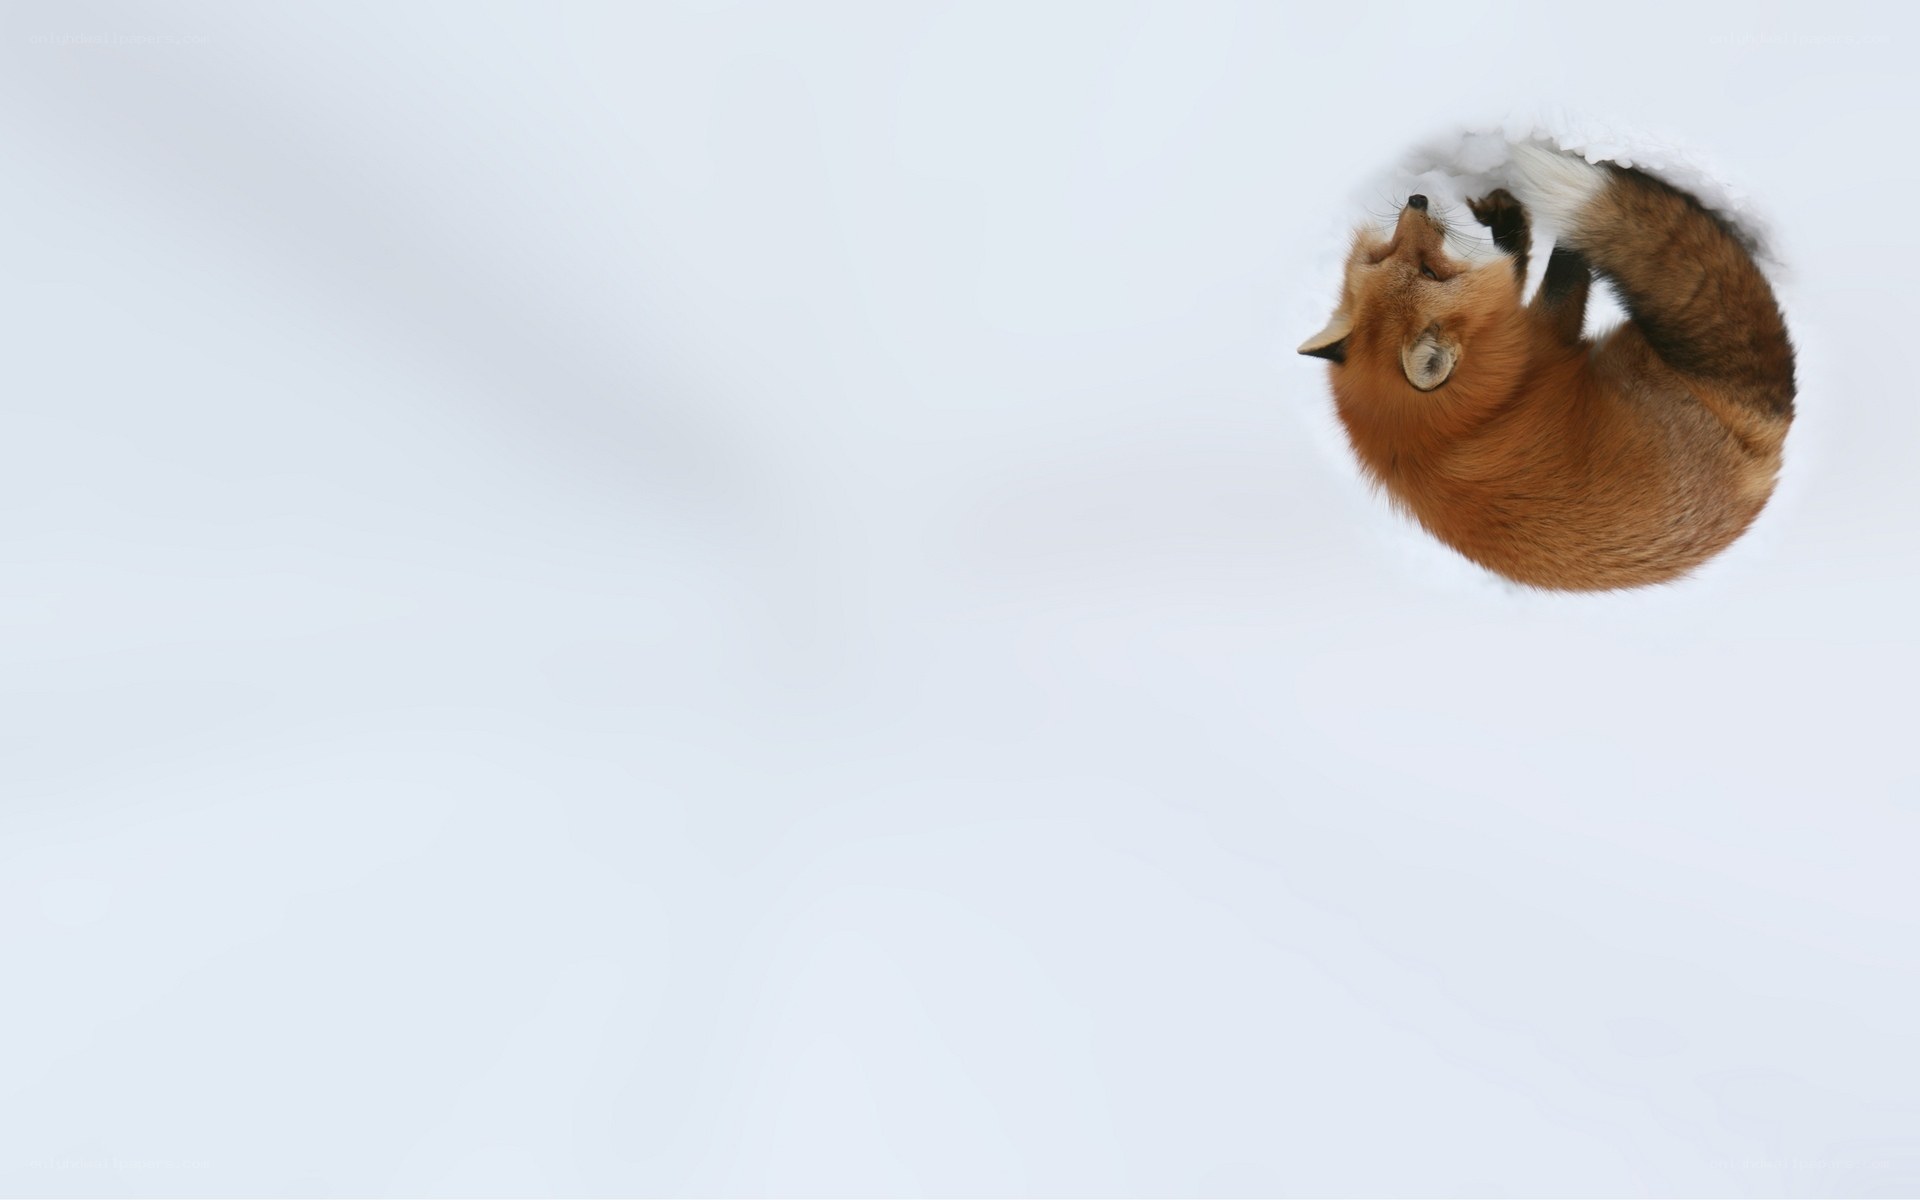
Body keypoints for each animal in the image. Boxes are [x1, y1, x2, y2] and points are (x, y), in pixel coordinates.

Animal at [1299, 142, 1796, 590]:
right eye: (1430, 273)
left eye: (1384, 257)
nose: (1416, 200)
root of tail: (1765, 452)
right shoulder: (1547, 335)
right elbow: (1561, 274)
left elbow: (1517, 267)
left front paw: (1508, 225)